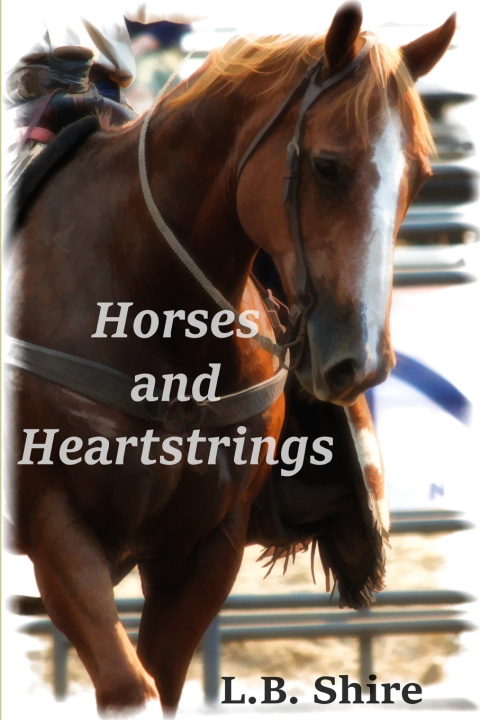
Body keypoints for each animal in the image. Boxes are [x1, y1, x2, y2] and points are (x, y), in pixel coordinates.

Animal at [6, 3, 455, 715]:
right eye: (327, 166)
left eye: (421, 177)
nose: (360, 361)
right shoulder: (55, 526)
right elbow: (129, 685)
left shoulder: (206, 549)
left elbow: (159, 679)